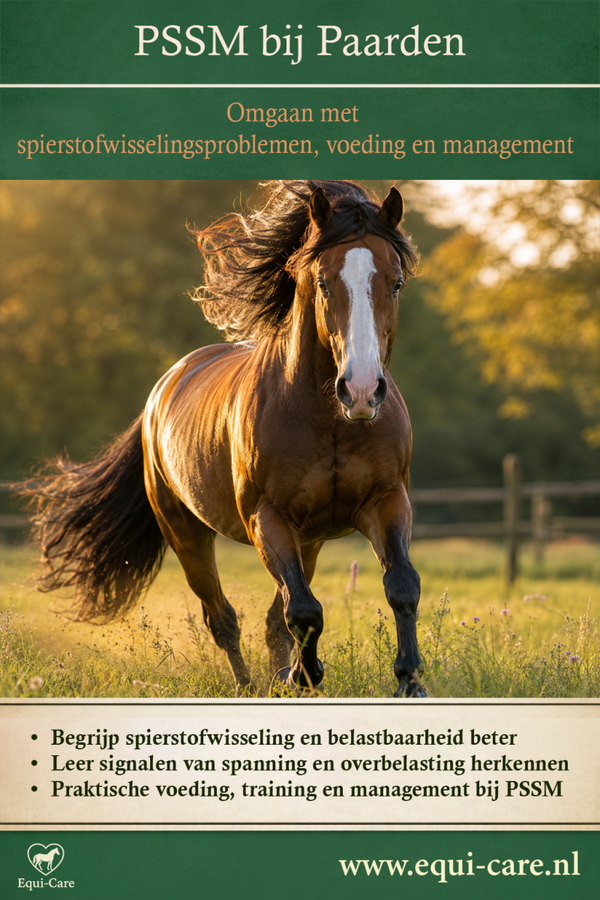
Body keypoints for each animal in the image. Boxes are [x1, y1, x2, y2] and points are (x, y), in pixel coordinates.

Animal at [26, 180, 426, 698]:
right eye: (322, 281)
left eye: (395, 283)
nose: (360, 390)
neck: (334, 423)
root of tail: (162, 390)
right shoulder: (266, 519)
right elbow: (303, 610)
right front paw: (306, 675)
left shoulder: (386, 501)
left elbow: (401, 587)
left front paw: (409, 682)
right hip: (186, 533)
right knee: (224, 619)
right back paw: (252, 687)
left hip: (310, 540)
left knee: (274, 618)